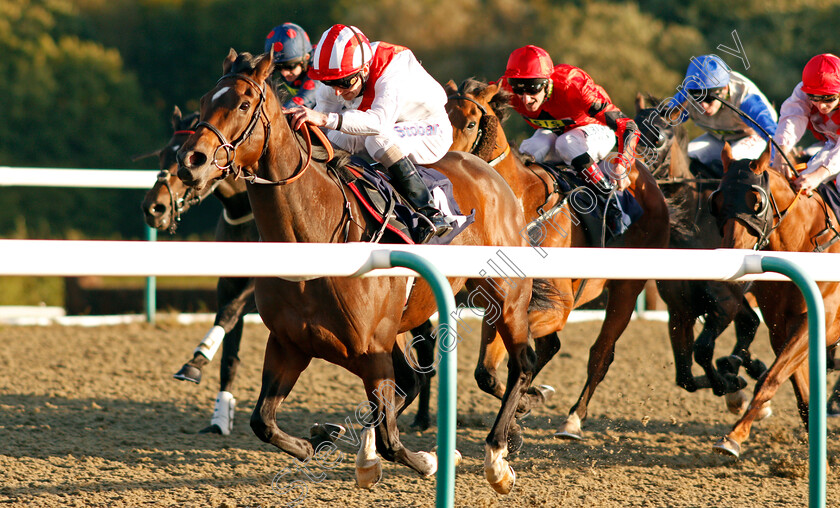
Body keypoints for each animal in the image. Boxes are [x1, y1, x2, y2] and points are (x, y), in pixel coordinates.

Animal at [139, 105, 258, 434]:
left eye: (190, 158)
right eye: (163, 155)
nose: (153, 208)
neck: (245, 212)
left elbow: (228, 315)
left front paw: (194, 362)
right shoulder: (228, 282)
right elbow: (230, 354)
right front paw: (219, 418)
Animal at [178, 53, 540, 494]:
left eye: (244, 104)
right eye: (203, 101)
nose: (190, 162)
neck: (314, 237)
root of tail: (491, 173)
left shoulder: (371, 350)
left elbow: (390, 439)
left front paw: (430, 459)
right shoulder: (288, 344)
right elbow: (263, 421)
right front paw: (319, 441)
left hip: (506, 296)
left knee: (522, 364)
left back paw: (497, 458)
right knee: (413, 381)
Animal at [446, 77, 668, 438]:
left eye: (469, 123)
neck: (521, 205)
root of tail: (648, 178)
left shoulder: (557, 306)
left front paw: (523, 406)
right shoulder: (501, 303)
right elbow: (487, 372)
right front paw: (525, 403)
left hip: (626, 288)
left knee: (600, 352)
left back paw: (573, 419)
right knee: (551, 349)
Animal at [636, 94, 768, 416]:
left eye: (658, 137)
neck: (690, 228)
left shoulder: (725, 302)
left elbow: (704, 350)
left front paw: (731, 383)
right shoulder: (679, 310)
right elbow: (685, 376)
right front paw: (734, 382)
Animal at [708, 143, 840, 456]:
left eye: (756, 201)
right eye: (717, 201)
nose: (731, 254)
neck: (805, 244)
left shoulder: (816, 323)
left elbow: (770, 378)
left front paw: (734, 436)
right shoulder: (780, 330)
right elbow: (802, 397)